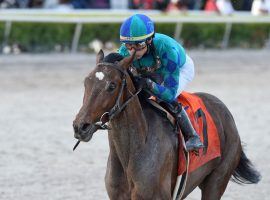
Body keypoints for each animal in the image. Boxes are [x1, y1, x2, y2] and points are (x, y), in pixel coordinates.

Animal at [73, 49, 260, 199]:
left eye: (112, 86)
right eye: (86, 82)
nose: (80, 126)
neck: (134, 149)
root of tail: (224, 110)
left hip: (216, 181)